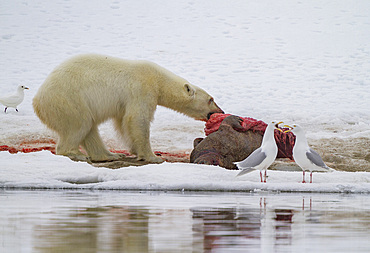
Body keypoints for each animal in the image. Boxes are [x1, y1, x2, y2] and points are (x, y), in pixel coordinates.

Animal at [32, 54, 223, 163]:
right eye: (211, 99)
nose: (220, 111)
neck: (159, 80)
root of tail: (37, 101)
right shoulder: (142, 88)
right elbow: (138, 119)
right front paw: (153, 157)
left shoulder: (125, 102)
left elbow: (123, 122)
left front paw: (133, 150)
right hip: (68, 100)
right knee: (79, 125)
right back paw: (76, 154)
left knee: (90, 128)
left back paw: (110, 155)